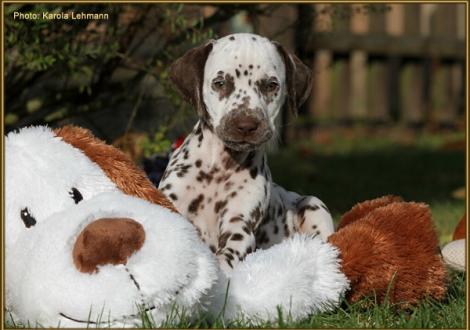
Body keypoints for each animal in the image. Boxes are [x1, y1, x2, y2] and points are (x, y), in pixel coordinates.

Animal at [159, 32, 334, 274]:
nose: (246, 125)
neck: (219, 168)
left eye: (271, 85)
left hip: (314, 206)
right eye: (220, 83)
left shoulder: (239, 226)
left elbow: (228, 256)